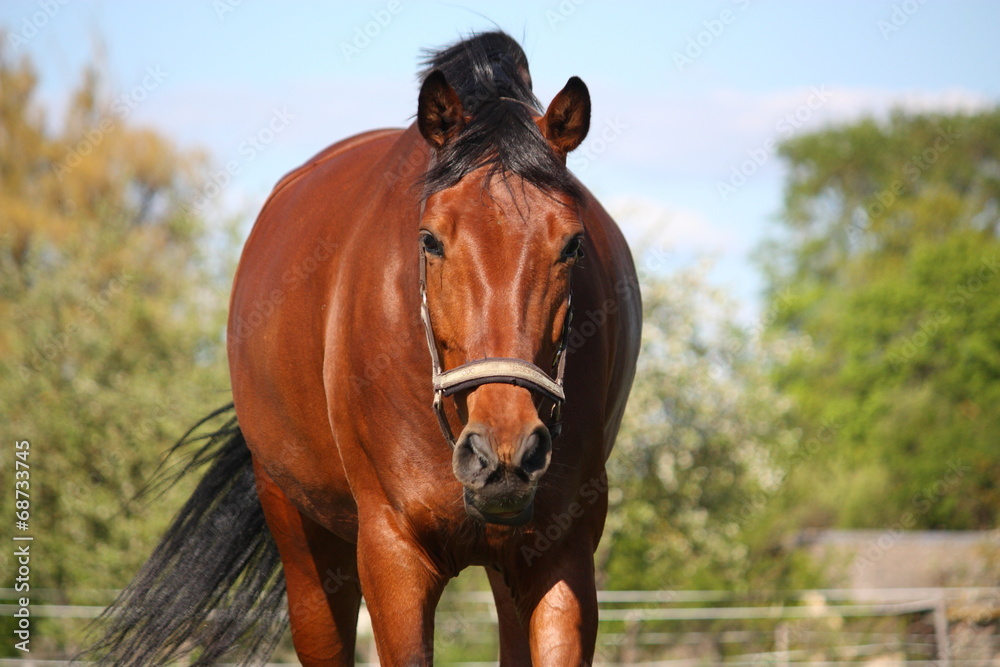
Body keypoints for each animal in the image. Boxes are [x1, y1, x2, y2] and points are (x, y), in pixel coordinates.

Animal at [88, 31, 640, 666]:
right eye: (430, 239)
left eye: (572, 245)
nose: (505, 451)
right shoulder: (391, 555)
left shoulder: (560, 555)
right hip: (305, 545)